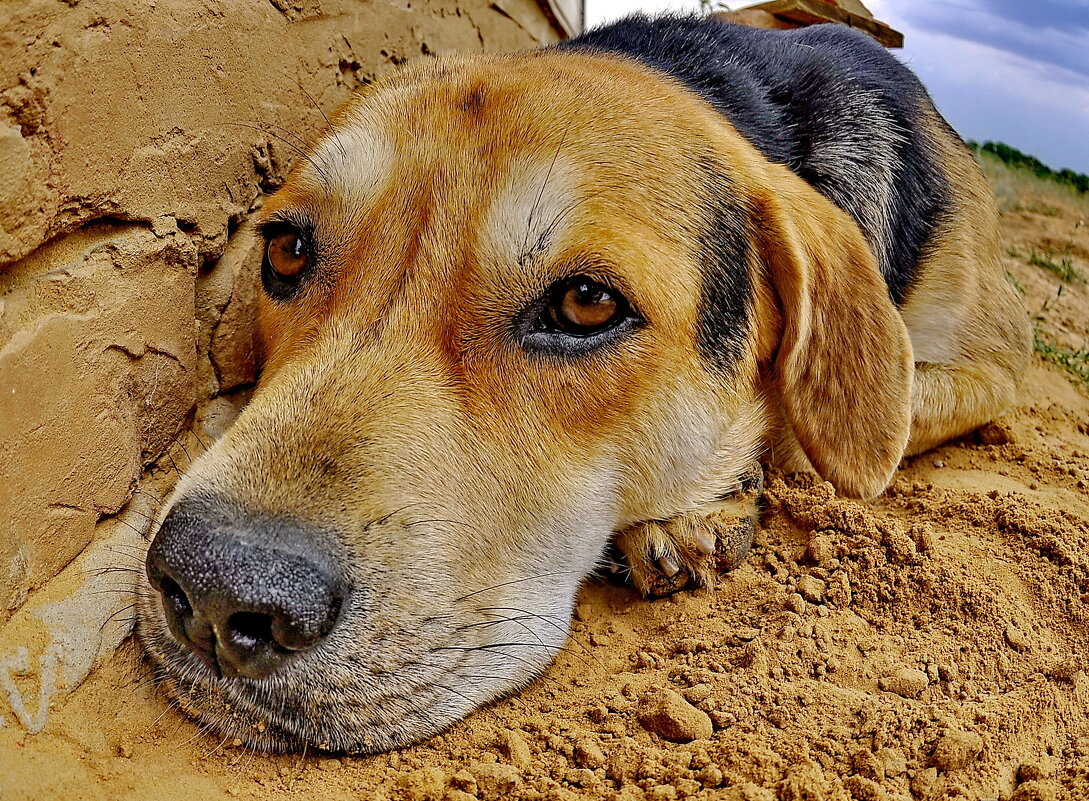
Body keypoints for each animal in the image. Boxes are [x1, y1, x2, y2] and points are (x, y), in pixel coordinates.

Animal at [133, 14, 1028, 748]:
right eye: (286, 250)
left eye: (585, 303)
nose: (214, 591)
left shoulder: (999, 362)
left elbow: (817, 434)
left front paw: (710, 502)